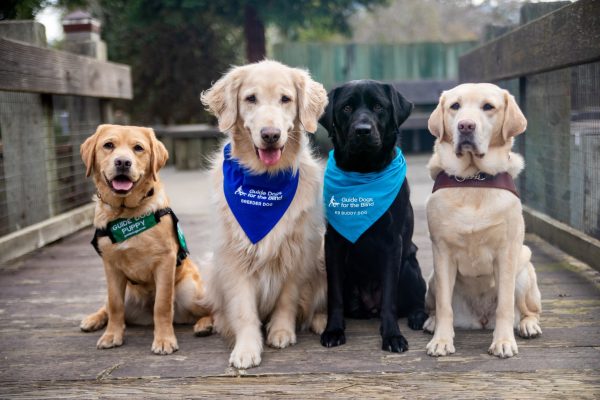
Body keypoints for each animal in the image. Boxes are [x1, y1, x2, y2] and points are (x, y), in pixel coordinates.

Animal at [78, 124, 212, 354]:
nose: (123, 162)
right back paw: (93, 318)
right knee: (108, 306)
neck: (125, 214)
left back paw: (205, 324)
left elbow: (162, 304)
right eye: (108, 145)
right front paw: (111, 335)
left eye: (138, 148)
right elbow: (114, 304)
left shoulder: (165, 261)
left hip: (190, 292)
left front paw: (164, 340)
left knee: (213, 308)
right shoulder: (111, 266)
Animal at [202, 60, 328, 368]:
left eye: (285, 99)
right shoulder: (234, 255)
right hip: (212, 265)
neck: (265, 180)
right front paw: (246, 348)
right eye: (250, 98)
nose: (270, 135)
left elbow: (288, 298)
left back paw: (321, 320)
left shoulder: (299, 251)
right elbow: (244, 309)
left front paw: (281, 331)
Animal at [318, 79, 426, 352]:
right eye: (346, 108)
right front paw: (333, 330)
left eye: (379, 106)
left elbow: (389, 298)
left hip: (409, 266)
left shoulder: (393, 243)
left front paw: (392, 336)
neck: (363, 171)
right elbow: (334, 295)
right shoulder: (332, 243)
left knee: (418, 300)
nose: (363, 130)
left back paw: (417, 317)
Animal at [422, 84, 544, 360]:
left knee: (528, 310)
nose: (465, 126)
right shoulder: (442, 253)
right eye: (455, 106)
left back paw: (528, 325)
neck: (473, 179)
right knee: (437, 306)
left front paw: (503, 342)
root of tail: (480, 320)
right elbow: (444, 306)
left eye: (488, 106)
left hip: (524, 270)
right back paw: (432, 323)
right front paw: (441, 341)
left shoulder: (506, 253)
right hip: (432, 279)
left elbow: (505, 305)